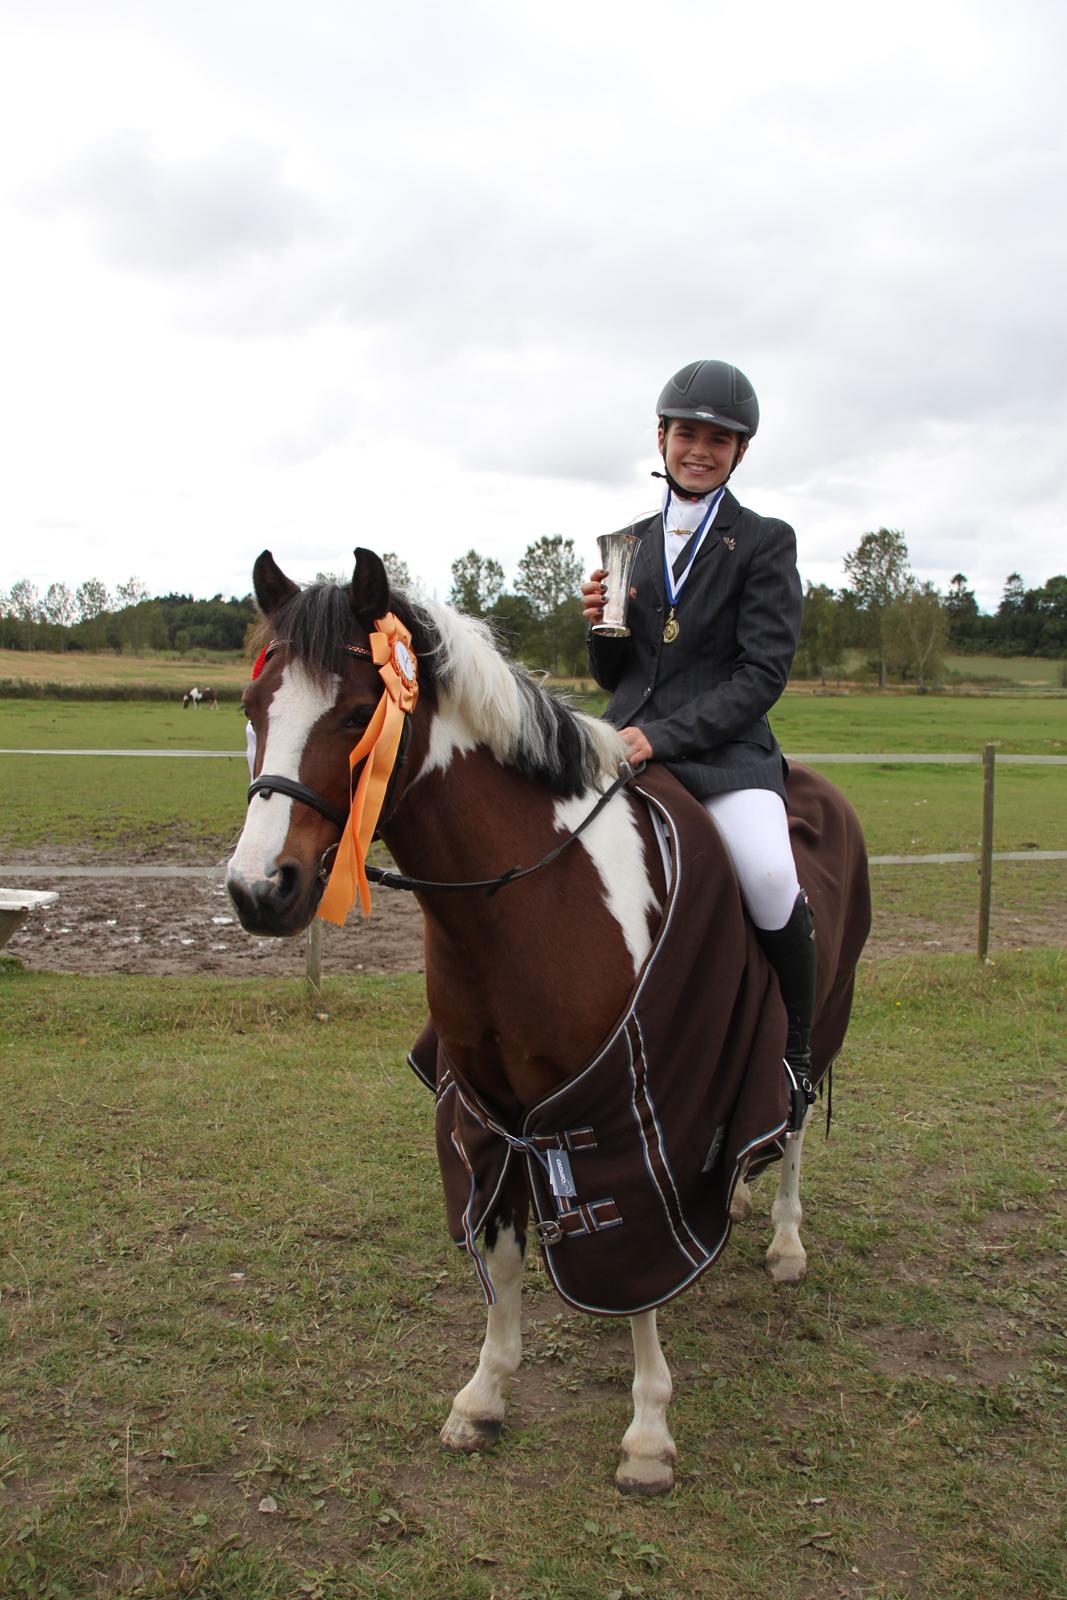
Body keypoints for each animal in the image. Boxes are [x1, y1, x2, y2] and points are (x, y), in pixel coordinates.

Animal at [226, 547, 870, 1495]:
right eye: (253, 708)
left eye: (354, 713)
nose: (258, 891)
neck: (529, 895)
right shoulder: (490, 1112)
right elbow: (500, 1252)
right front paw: (482, 1396)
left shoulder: (629, 1107)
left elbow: (637, 1267)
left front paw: (646, 1435)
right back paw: (739, 1196)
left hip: (822, 1020)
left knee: (790, 1122)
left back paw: (785, 1242)